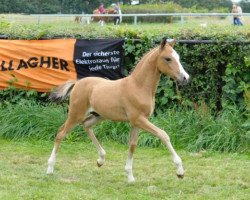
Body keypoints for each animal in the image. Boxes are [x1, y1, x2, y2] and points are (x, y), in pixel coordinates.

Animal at [47, 38, 189, 183]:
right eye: (168, 58)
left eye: (178, 57)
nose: (185, 78)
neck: (138, 86)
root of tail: (77, 83)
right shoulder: (138, 119)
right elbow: (163, 135)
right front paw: (180, 171)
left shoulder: (136, 123)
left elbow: (132, 145)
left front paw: (130, 177)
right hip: (76, 114)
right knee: (60, 133)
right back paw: (50, 169)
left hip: (99, 115)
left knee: (86, 125)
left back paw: (101, 160)